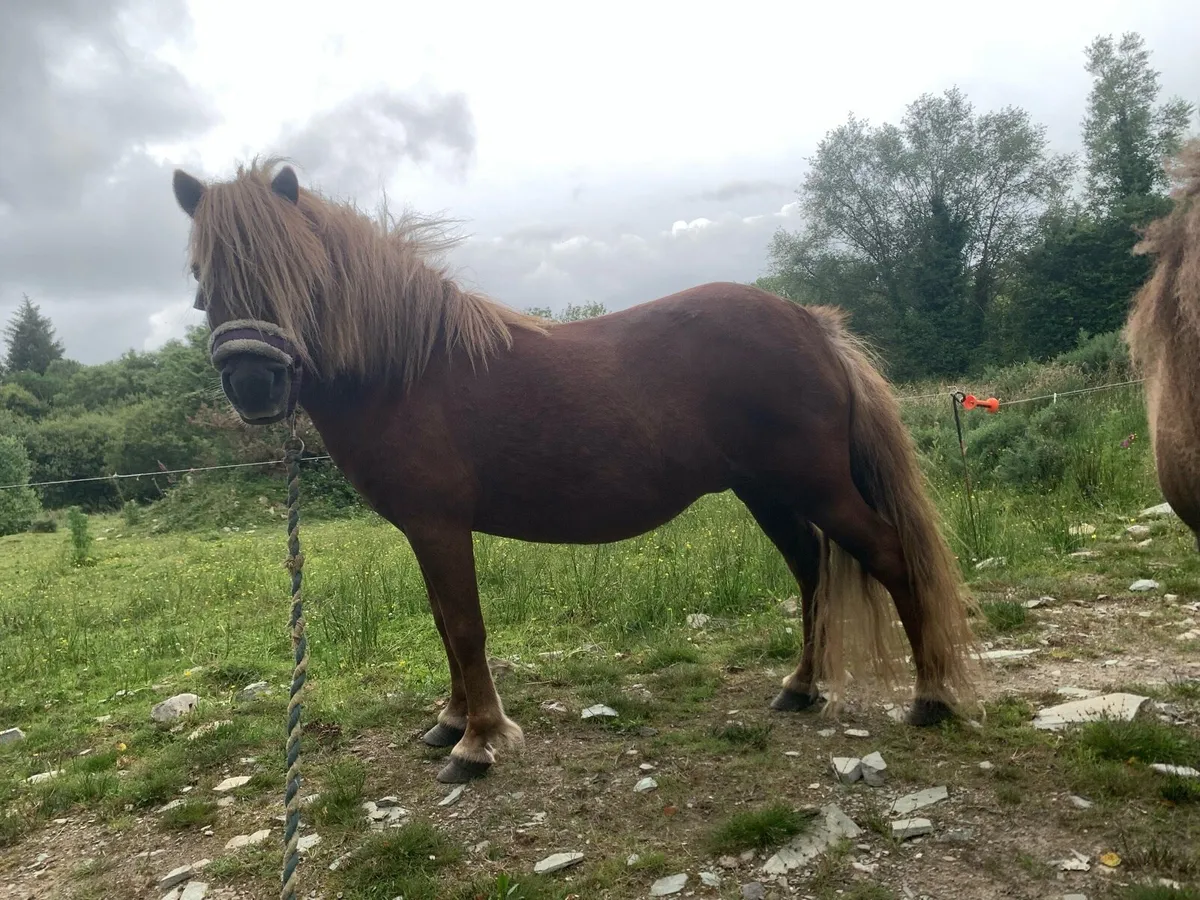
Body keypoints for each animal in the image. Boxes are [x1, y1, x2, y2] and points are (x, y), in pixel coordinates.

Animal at [170, 157, 979, 784]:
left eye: (294, 273)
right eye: (201, 273)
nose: (252, 385)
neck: (408, 371)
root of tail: (812, 323)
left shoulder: (440, 527)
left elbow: (465, 627)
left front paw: (478, 743)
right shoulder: (423, 533)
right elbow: (443, 625)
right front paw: (450, 720)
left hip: (817, 487)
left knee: (890, 558)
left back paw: (931, 698)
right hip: (768, 491)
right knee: (812, 570)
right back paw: (801, 688)